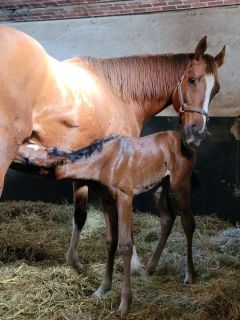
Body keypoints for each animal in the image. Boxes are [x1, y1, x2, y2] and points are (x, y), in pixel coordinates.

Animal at [14, 131, 196, 314]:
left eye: (27, 158)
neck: (105, 161)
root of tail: (179, 137)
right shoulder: (106, 199)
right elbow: (110, 241)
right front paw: (102, 289)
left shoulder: (125, 196)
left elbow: (125, 245)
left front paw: (124, 303)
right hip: (159, 186)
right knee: (167, 219)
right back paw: (149, 269)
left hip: (180, 183)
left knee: (188, 222)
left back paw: (190, 275)